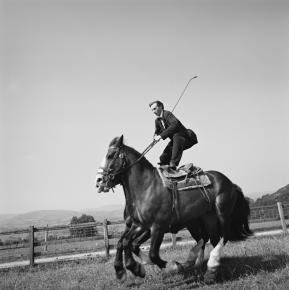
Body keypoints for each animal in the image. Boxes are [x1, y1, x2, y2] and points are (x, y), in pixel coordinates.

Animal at [95, 137, 251, 284]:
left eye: (110, 155)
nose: (98, 181)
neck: (146, 187)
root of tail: (230, 183)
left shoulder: (157, 227)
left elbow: (151, 253)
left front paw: (174, 266)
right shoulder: (139, 225)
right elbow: (125, 242)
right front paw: (127, 269)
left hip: (222, 213)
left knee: (223, 237)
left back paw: (208, 264)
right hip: (207, 218)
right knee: (210, 239)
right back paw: (207, 268)